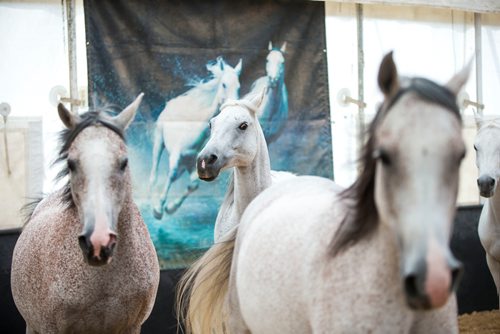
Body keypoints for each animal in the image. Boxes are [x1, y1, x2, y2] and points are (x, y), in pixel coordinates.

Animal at [148, 56, 242, 219]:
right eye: (224, 84)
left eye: (238, 86)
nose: (235, 109)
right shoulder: (176, 156)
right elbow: (172, 175)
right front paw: (159, 209)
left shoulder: (193, 163)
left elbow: (193, 185)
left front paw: (171, 208)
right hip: (159, 141)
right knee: (155, 170)